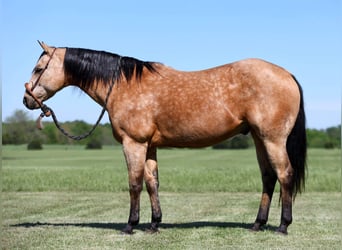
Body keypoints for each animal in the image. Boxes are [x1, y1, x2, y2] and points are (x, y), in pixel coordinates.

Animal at [24, 41, 308, 234]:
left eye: (38, 68)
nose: (27, 100)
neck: (124, 84)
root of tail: (287, 74)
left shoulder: (133, 144)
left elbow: (134, 183)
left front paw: (131, 225)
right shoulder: (149, 146)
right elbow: (152, 183)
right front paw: (154, 224)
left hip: (273, 139)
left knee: (284, 175)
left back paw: (283, 226)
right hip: (260, 139)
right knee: (268, 178)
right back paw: (257, 224)